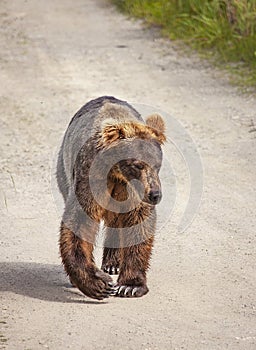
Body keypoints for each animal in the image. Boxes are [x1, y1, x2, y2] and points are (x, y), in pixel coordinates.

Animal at [56, 96, 166, 300]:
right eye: (137, 165)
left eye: (157, 165)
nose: (155, 195)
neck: (117, 173)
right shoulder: (90, 176)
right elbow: (79, 222)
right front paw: (98, 284)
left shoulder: (133, 192)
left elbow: (139, 223)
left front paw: (130, 286)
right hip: (64, 171)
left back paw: (113, 264)